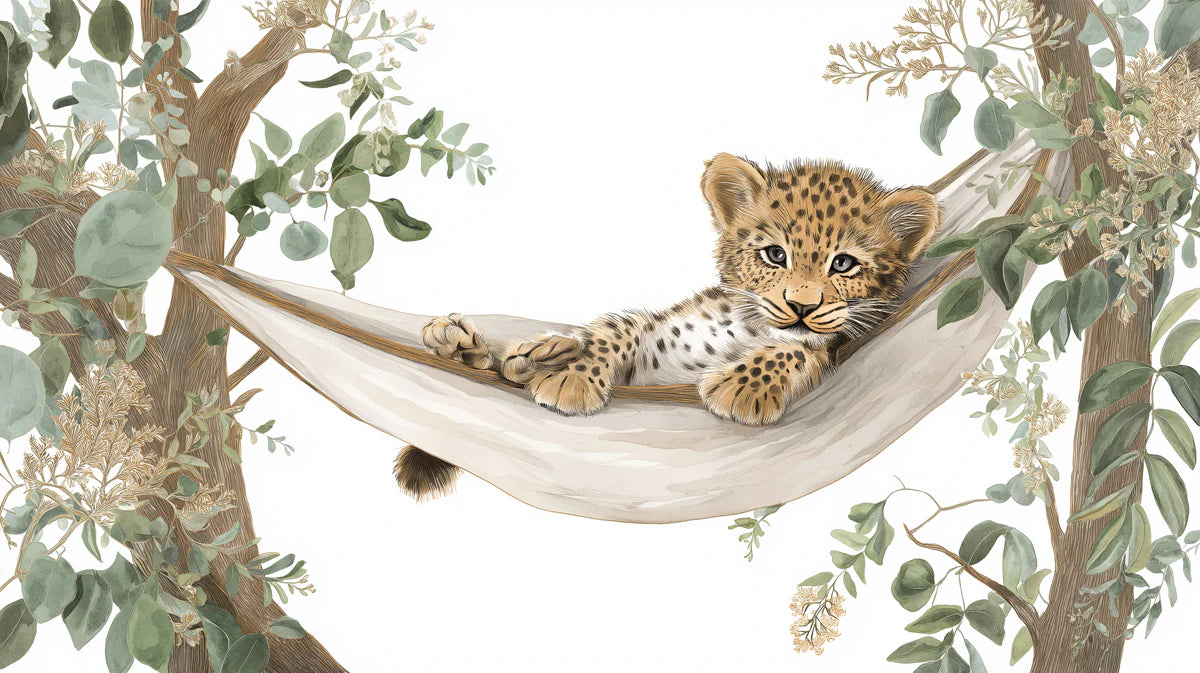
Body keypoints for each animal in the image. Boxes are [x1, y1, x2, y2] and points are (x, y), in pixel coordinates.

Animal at [394, 153, 942, 500]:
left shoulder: (828, 345)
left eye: (843, 264)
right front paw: (572, 374)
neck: (747, 327)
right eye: (775, 254)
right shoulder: (656, 342)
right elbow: (619, 329)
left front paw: (742, 388)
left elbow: (799, 349)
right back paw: (473, 345)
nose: (802, 306)